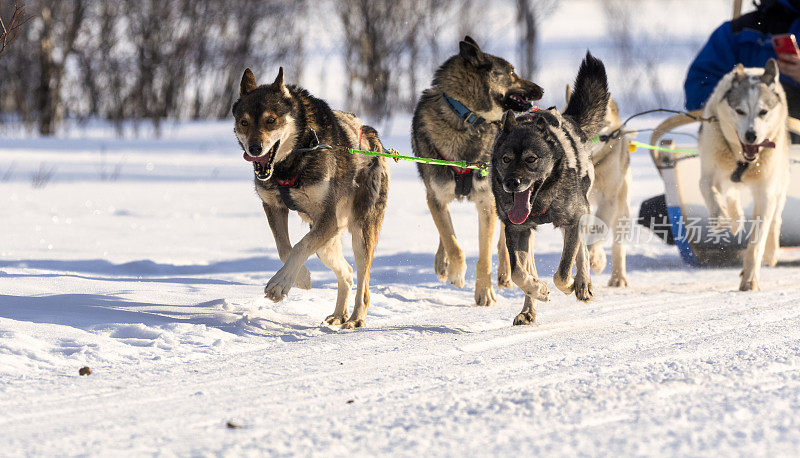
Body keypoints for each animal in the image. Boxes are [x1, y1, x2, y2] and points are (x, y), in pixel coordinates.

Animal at [231, 66, 390, 328]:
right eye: (244, 122)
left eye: (271, 120)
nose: (254, 149)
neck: (289, 165)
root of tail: (371, 134)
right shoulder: (273, 207)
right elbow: (284, 247)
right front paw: (301, 277)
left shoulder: (328, 219)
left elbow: (299, 246)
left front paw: (280, 283)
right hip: (326, 244)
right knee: (347, 272)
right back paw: (339, 313)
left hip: (359, 232)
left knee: (363, 283)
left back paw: (355, 318)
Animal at [412, 35, 544, 308]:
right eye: (512, 72)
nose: (541, 90)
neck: (465, 117)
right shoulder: (436, 197)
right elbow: (451, 240)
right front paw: (455, 271)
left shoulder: (487, 203)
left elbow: (485, 254)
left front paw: (484, 291)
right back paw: (442, 263)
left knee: (505, 239)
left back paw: (505, 273)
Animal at [490, 52, 608, 326]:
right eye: (505, 159)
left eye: (531, 159)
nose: (511, 183)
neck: (541, 203)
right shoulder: (515, 229)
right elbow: (518, 273)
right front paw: (539, 290)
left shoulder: (573, 219)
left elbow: (563, 271)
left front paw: (571, 284)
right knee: (528, 267)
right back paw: (527, 310)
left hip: (579, 212)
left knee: (580, 252)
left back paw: (582, 284)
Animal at [564, 87, 636, 286]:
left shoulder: (608, 201)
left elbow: (599, 229)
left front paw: (596, 258)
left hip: (622, 211)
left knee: (618, 245)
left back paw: (618, 276)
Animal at [696, 60, 792, 290]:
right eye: (739, 110)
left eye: (763, 111)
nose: (751, 135)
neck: (742, 160)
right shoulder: (709, 173)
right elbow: (709, 191)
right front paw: (720, 218)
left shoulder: (766, 192)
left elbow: (757, 240)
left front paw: (750, 279)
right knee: (731, 195)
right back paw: (734, 219)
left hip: (780, 182)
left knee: (776, 217)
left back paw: (772, 251)